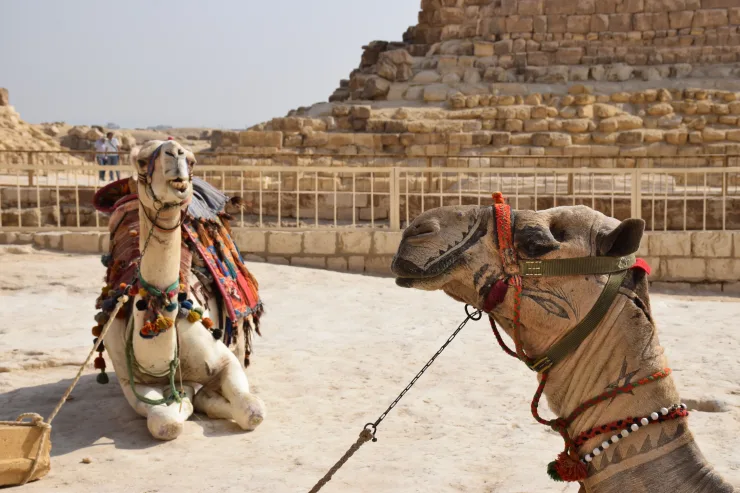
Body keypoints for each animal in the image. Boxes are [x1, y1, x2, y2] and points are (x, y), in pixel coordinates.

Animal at [91, 140, 266, 441]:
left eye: (193, 159)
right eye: (142, 161)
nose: (175, 151)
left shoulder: (224, 360)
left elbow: (252, 410)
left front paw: (206, 398)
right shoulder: (130, 382)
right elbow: (165, 421)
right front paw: (185, 400)